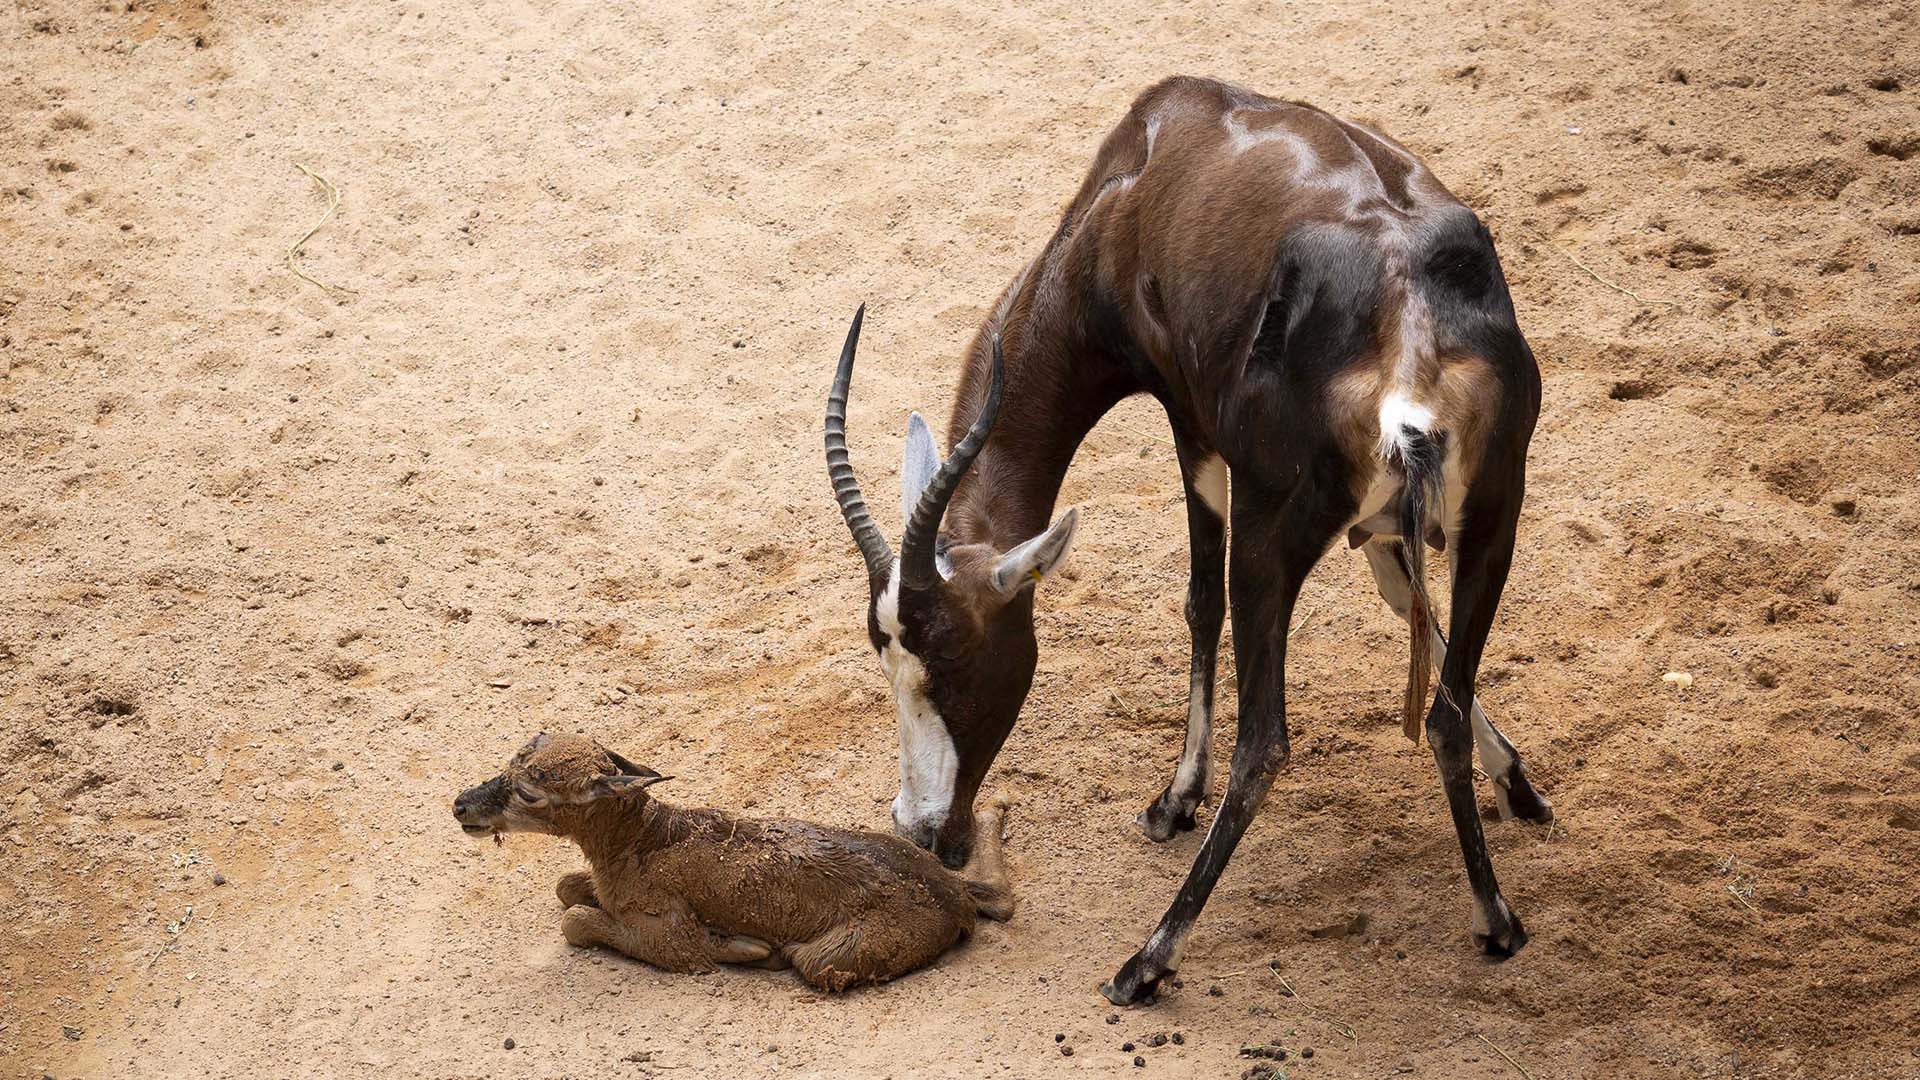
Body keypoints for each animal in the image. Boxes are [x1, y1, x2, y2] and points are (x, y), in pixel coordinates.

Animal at [823, 76, 1554, 1005]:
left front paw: (1174, 800)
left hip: (1271, 542)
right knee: (1444, 712)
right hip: (1494, 522)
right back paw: (1497, 922)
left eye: (953, 659)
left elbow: (1200, 602)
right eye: (881, 653)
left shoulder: (1190, 425)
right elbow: (1407, 607)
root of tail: (1411, 336)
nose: (923, 832)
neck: (1146, 167)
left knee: (1264, 741)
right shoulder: (1397, 526)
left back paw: (1147, 959)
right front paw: (1520, 785)